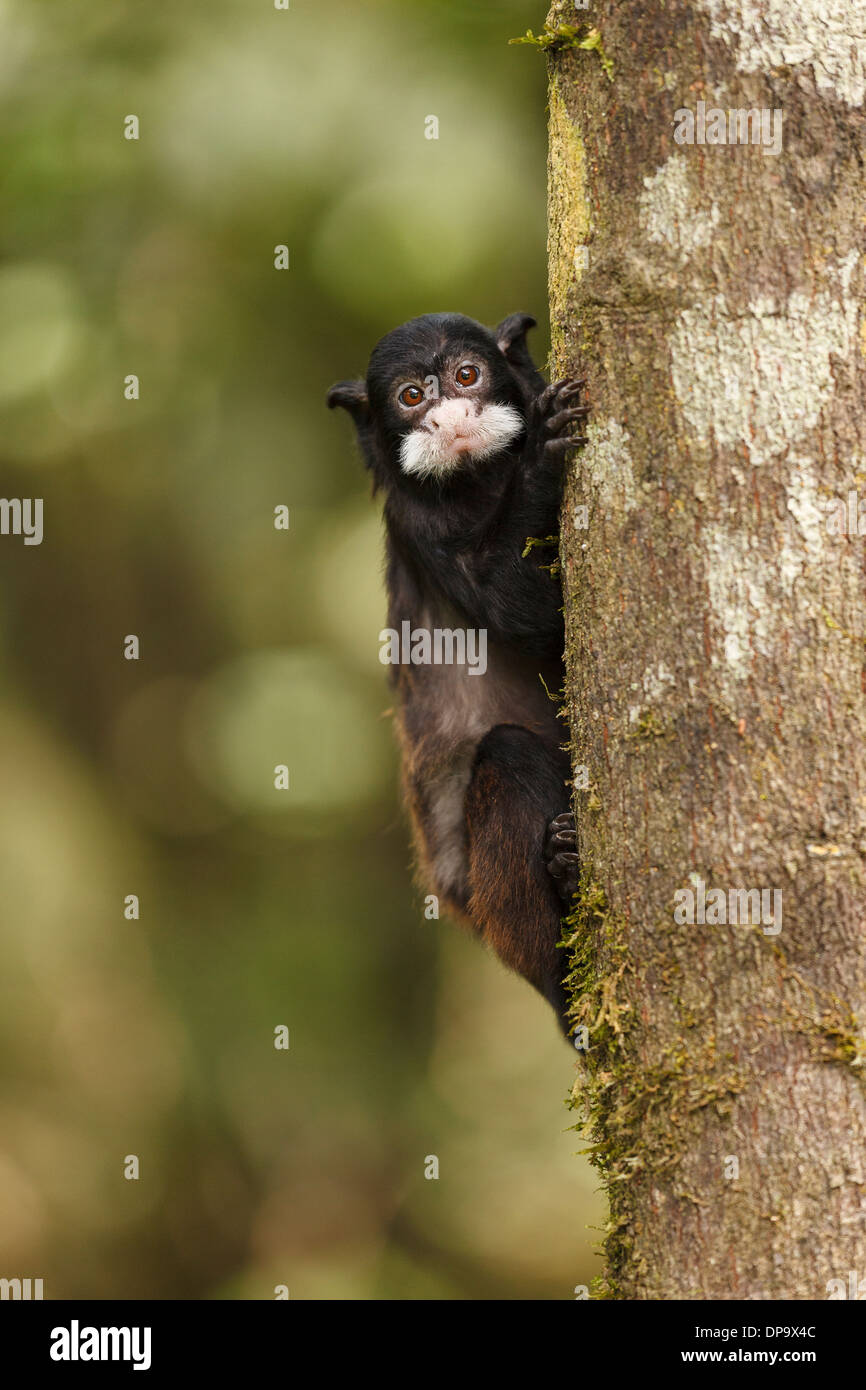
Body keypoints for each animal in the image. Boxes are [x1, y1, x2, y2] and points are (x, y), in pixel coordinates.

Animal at [328, 318, 586, 1034]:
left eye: (466, 376)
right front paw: (541, 458)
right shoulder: (417, 524)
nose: (448, 418)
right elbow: (530, 620)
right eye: (413, 396)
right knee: (507, 752)